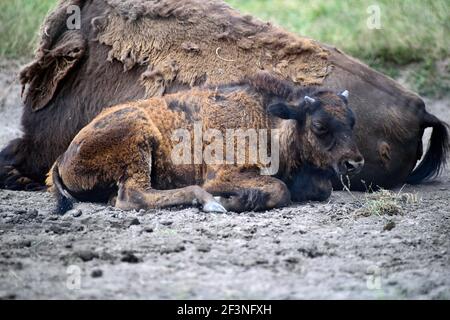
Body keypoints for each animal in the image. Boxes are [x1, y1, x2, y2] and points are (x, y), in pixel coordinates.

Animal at [46, 72, 362, 212]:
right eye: (320, 126)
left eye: (352, 121)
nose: (354, 163)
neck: (269, 118)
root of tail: (62, 158)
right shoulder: (223, 175)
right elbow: (279, 188)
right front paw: (232, 200)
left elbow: (321, 190)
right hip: (138, 139)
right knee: (132, 196)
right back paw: (209, 202)